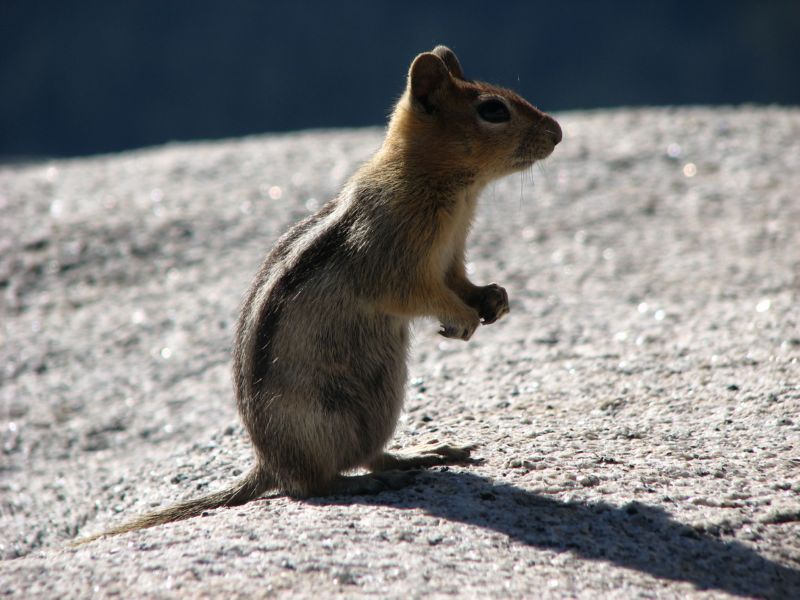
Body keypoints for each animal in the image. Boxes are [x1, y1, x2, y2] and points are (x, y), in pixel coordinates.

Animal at [75, 45, 564, 544]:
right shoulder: (392, 256)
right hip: (323, 420)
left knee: (370, 454)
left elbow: (461, 281)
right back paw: (368, 482)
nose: (558, 132)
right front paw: (462, 318)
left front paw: (493, 298)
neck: (448, 186)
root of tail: (268, 464)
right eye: (493, 110)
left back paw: (423, 453)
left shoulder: (451, 257)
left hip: (382, 405)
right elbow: (414, 294)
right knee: (314, 485)